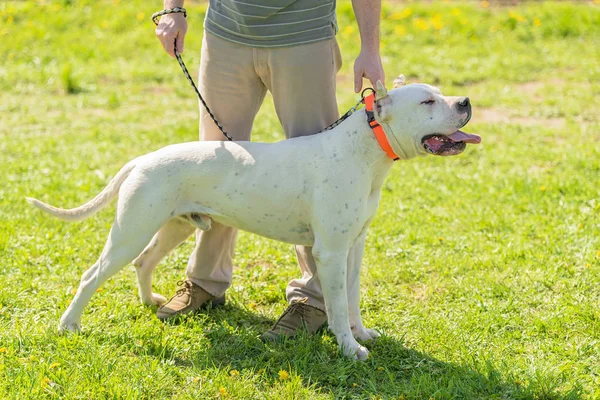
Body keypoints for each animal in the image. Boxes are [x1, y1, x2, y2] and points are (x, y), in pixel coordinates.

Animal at [25, 78, 480, 360]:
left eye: (441, 94)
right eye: (427, 101)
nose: (464, 103)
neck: (366, 147)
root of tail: (142, 158)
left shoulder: (354, 247)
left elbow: (351, 298)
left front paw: (362, 334)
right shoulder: (331, 252)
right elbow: (335, 306)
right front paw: (350, 349)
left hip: (172, 225)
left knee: (144, 262)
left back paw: (150, 302)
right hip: (131, 231)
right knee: (92, 274)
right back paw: (69, 325)